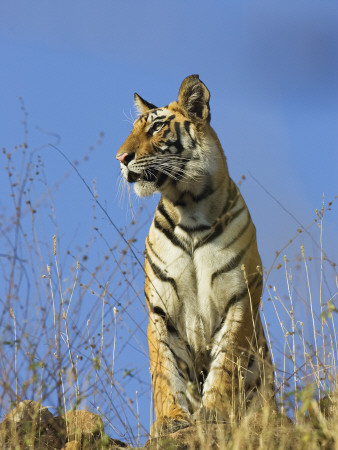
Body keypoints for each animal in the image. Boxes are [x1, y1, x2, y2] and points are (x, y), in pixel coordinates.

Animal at [116, 74, 274, 436]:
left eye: (157, 128)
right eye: (133, 130)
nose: (120, 158)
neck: (189, 207)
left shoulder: (238, 299)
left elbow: (226, 364)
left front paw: (214, 414)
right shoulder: (161, 309)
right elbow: (165, 369)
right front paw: (171, 420)